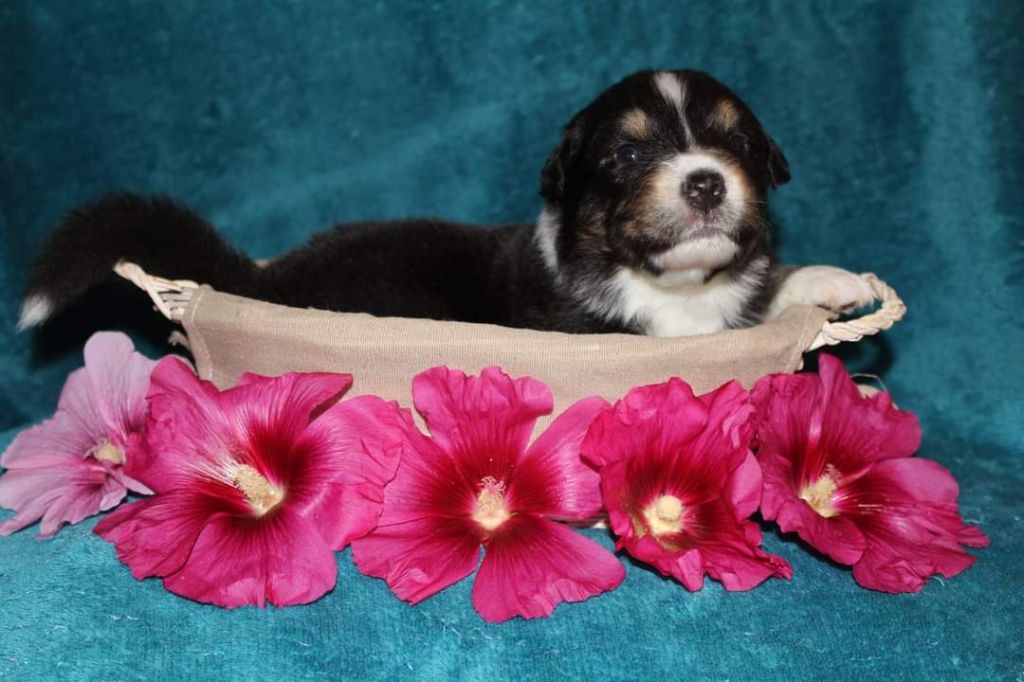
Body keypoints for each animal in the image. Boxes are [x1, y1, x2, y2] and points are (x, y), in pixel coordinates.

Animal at [18, 69, 874, 336]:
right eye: (628, 155)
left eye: (736, 144)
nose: (705, 181)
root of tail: (262, 281)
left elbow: (762, 292)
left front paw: (832, 281)